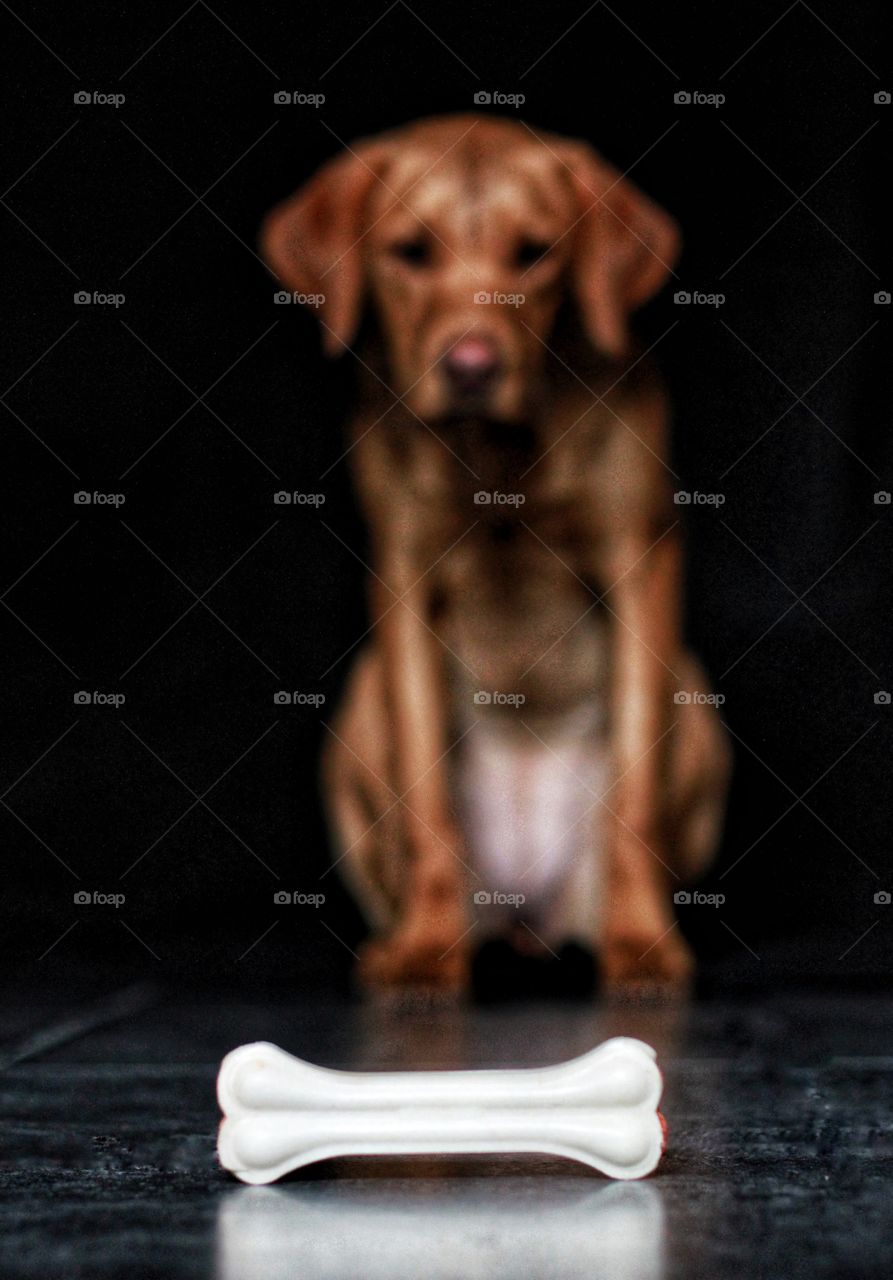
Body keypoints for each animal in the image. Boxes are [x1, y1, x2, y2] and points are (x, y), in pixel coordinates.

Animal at [260, 115, 726, 993]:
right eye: (410, 252)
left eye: (535, 253)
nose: (471, 366)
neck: (495, 461)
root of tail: (524, 916)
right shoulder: (402, 580)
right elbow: (425, 798)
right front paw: (423, 947)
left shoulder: (640, 562)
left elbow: (634, 796)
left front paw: (641, 941)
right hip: (358, 710)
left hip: (696, 702)